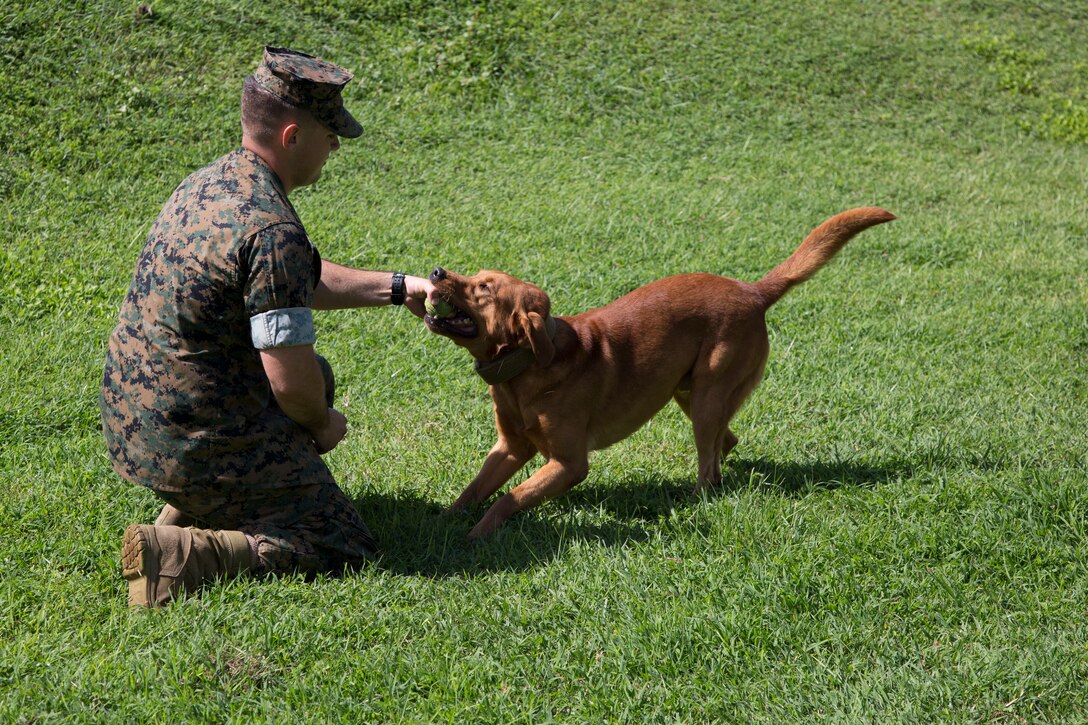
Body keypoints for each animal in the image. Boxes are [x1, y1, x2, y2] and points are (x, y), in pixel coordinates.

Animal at [422, 205, 892, 533]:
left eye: (484, 288)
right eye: (475, 274)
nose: (436, 270)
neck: (523, 373)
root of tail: (753, 291)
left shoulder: (569, 464)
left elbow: (510, 498)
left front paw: (478, 535)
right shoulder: (510, 448)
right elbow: (473, 489)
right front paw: (442, 523)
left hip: (706, 396)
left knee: (709, 466)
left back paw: (695, 499)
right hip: (688, 393)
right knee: (726, 443)